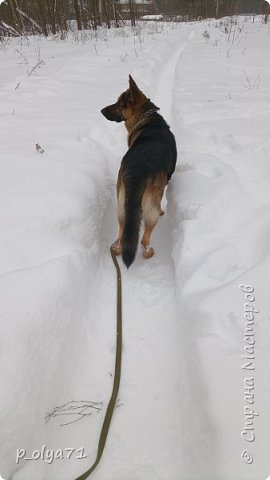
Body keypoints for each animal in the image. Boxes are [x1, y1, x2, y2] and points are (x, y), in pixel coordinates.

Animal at [101, 77, 177, 268]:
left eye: (119, 103)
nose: (102, 110)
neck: (147, 116)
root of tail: (138, 169)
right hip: (150, 209)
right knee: (144, 239)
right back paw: (149, 252)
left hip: (121, 205)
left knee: (121, 237)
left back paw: (117, 249)